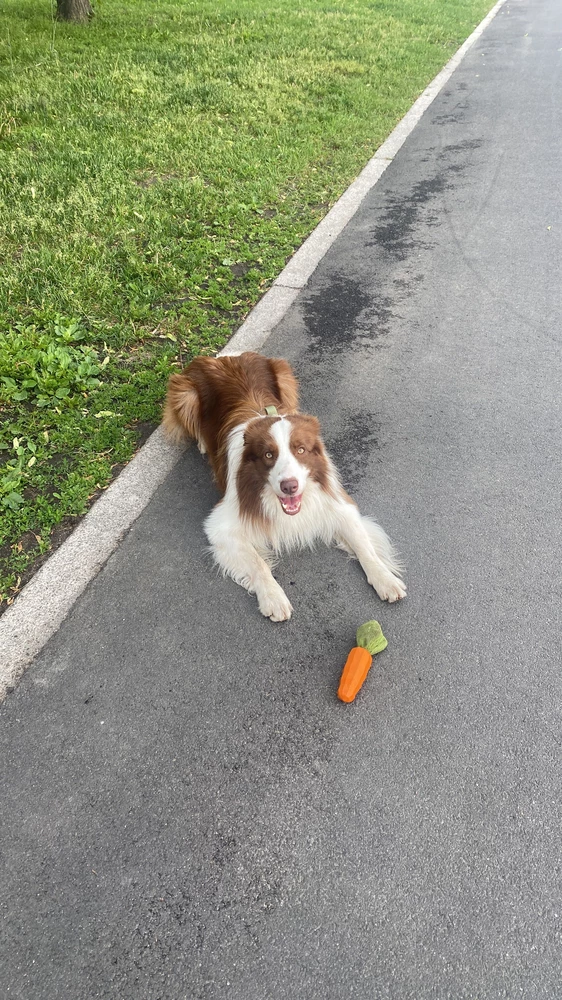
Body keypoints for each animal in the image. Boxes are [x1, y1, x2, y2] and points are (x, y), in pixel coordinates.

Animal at [162, 350, 402, 616]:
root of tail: (226, 356)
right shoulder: (221, 525)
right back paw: (204, 443)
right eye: (269, 455)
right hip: (185, 393)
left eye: (300, 450)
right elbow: (258, 564)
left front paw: (385, 579)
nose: (290, 487)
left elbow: (365, 547)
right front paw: (273, 598)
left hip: (285, 375)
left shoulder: (336, 503)